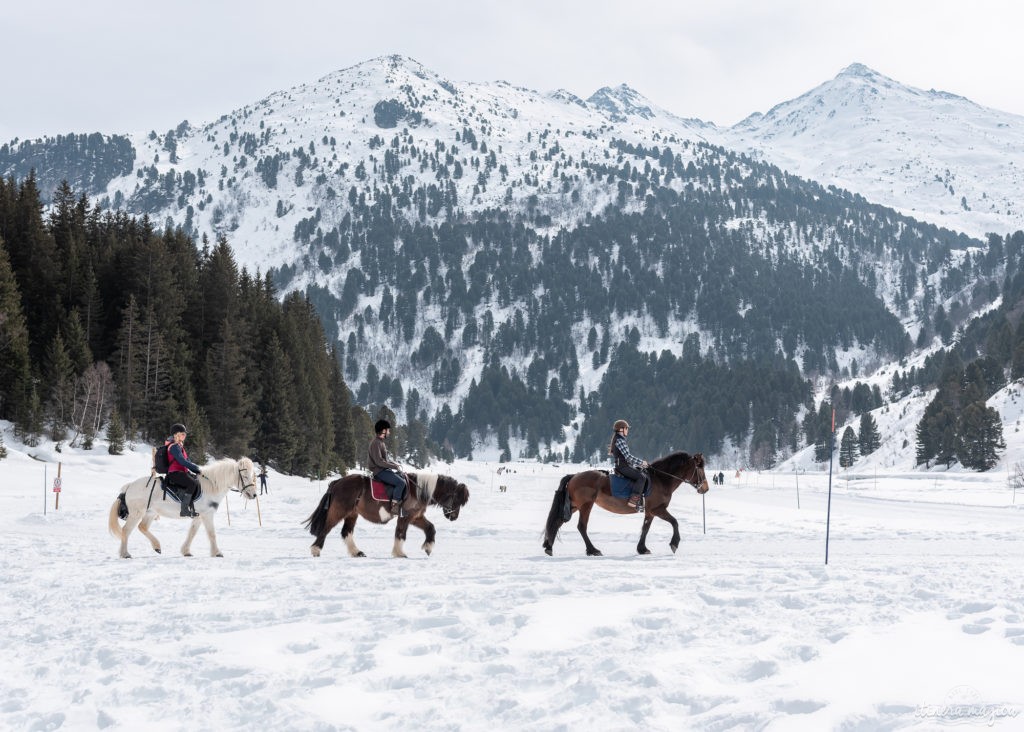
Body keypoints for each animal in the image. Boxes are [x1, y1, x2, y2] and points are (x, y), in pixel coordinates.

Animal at [106, 458, 258, 561]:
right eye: (245, 476)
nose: (254, 495)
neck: (211, 486)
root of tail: (129, 486)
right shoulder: (207, 515)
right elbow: (212, 534)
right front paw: (217, 553)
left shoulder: (198, 516)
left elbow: (192, 533)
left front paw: (186, 551)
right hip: (137, 513)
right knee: (126, 530)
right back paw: (125, 554)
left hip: (150, 513)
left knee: (142, 527)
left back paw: (157, 546)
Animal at [299, 472, 468, 556]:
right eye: (457, 500)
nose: (454, 517)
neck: (418, 489)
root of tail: (337, 482)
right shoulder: (405, 517)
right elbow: (400, 534)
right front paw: (399, 553)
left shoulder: (415, 517)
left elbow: (430, 528)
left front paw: (428, 547)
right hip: (340, 511)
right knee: (326, 528)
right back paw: (316, 550)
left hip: (352, 514)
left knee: (346, 532)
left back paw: (356, 552)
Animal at [540, 452, 708, 556]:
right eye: (699, 468)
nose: (705, 488)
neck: (661, 479)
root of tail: (575, 475)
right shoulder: (657, 509)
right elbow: (675, 522)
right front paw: (674, 543)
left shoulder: (650, 511)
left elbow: (645, 528)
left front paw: (642, 549)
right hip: (586, 505)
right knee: (581, 527)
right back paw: (593, 550)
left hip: (575, 505)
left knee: (557, 522)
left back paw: (549, 547)